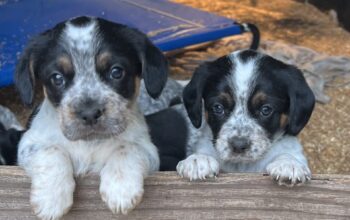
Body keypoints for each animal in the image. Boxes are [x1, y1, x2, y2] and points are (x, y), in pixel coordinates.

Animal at [14, 16, 167, 219]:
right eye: (57, 78)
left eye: (116, 72)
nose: (89, 113)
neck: (90, 144)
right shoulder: (28, 144)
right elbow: (52, 151)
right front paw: (51, 199)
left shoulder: (148, 149)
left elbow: (127, 148)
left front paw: (121, 190)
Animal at [178, 49, 314, 186]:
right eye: (218, 107)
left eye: (266, 110)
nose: (238, 145)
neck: (243, 165)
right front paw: (198, 159)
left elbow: (287, 154)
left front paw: (288, 163)